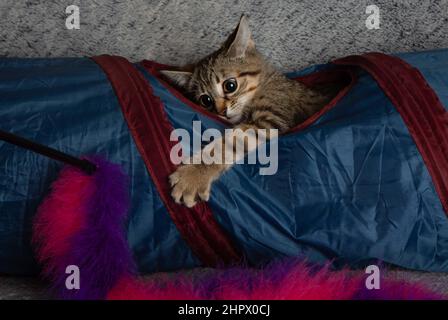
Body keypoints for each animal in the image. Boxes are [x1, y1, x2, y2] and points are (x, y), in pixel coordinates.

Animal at [163, 15, 338, 208]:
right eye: (206, 101)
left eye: (230, 85)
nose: (221, 112)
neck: (266, 82)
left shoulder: (269, 120)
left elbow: (227, 143)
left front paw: (192, 176)